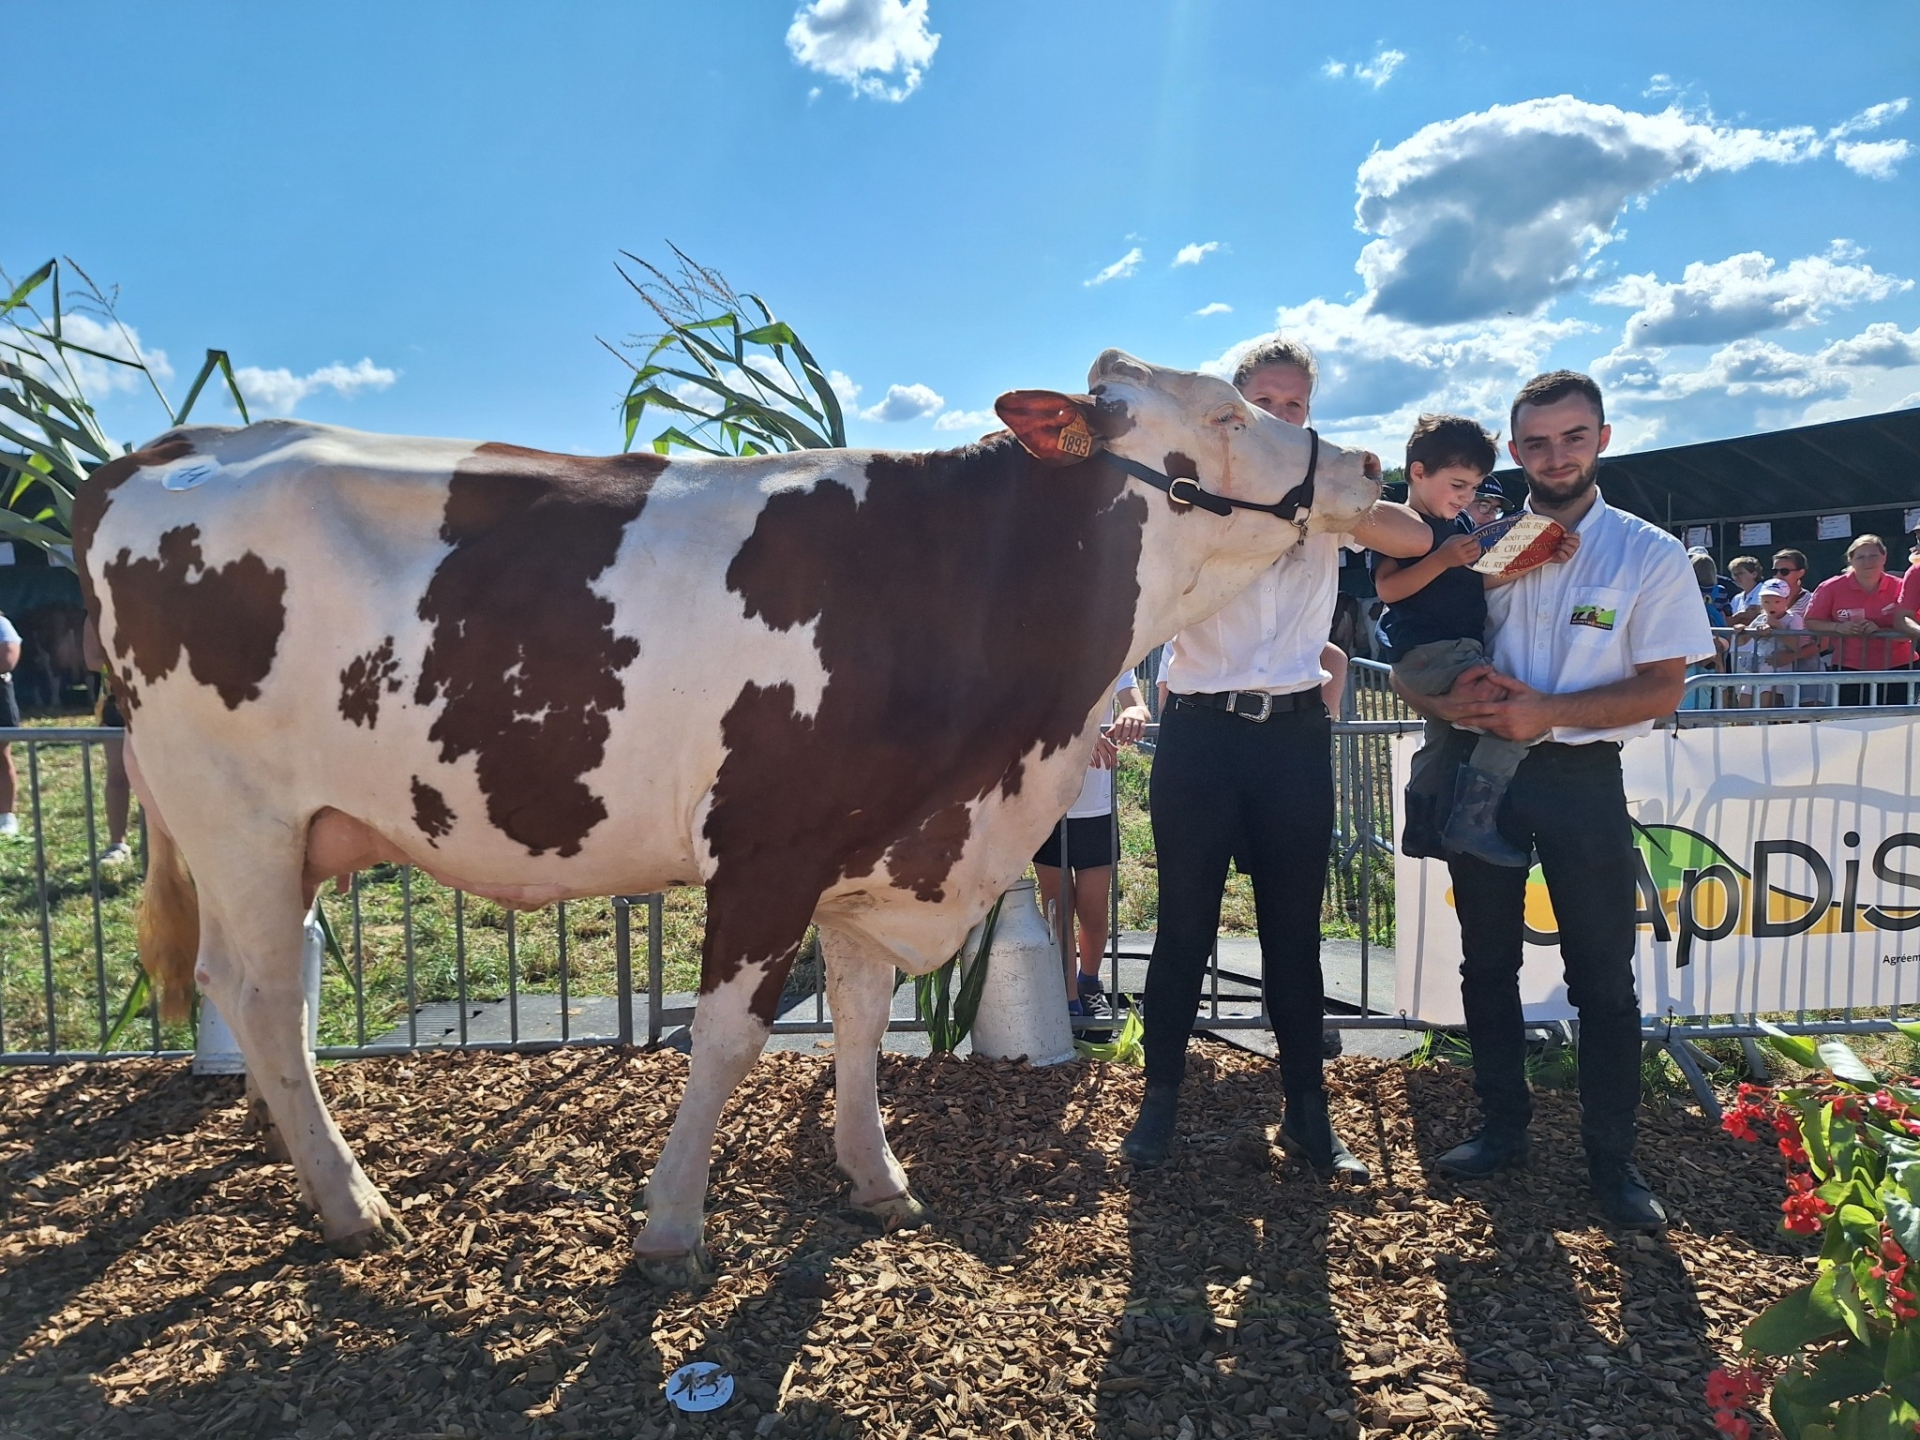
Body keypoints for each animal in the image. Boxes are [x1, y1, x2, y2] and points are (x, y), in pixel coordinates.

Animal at [74, 349, 1382, 1282]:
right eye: (1227, 415)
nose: (1369, 468)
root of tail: (171, 451)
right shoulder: (770, 848)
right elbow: (726, 1040)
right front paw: (670, 1227)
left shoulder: (876, 848)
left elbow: (859, 1020)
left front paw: (876, 1175)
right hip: (236, 815)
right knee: (262, 995)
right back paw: (351, 1203)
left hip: (279, 832)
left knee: (263, 995)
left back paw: (297, 1158)